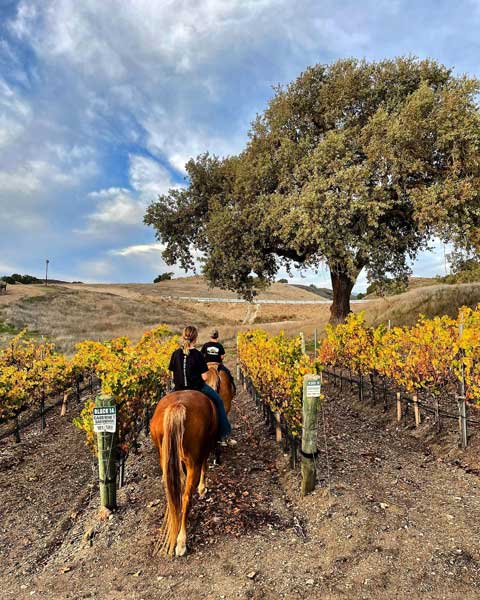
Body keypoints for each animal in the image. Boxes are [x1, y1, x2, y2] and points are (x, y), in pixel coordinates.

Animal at [150, 392, 218, 556]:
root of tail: (177, 406)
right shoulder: (206, 447)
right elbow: (205, 465)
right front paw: (202, 488)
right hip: (193, 462)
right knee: (186, 497)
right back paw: (181, 542)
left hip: (165, 458)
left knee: (173, 493)